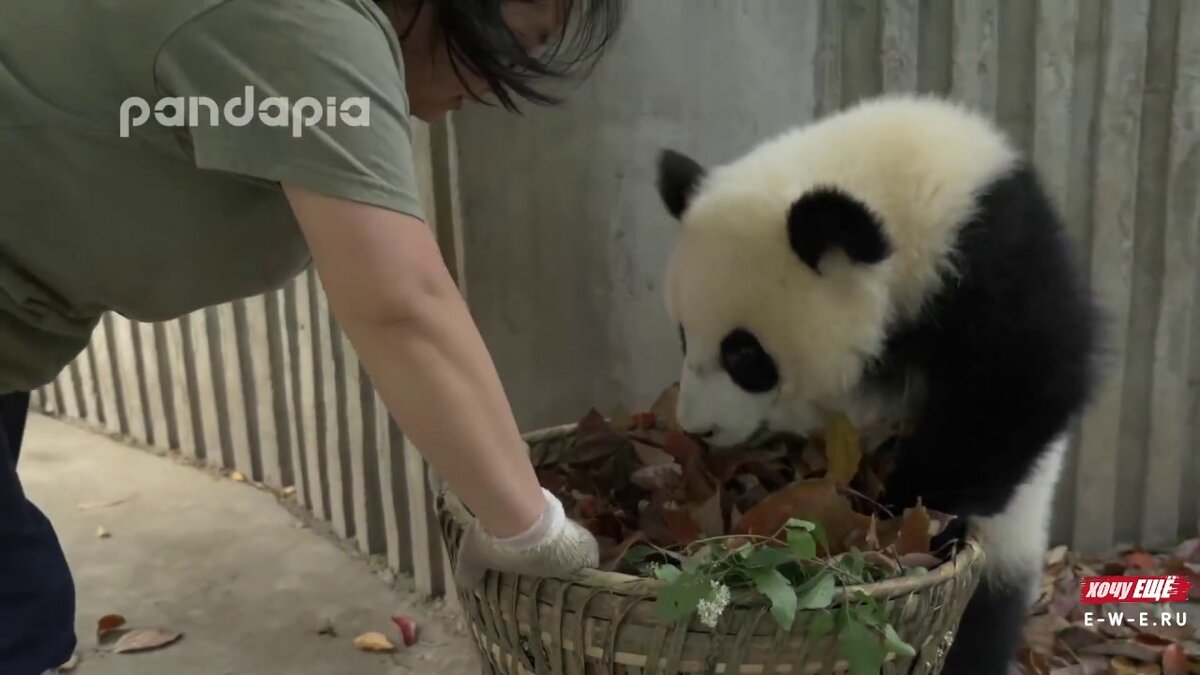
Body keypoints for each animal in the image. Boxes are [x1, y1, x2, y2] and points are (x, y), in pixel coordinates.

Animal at [653, 93, 1102, 674]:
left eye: (745, 354)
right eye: (685, 335)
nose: (697, 428)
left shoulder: (996, 262)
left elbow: (1025, 385)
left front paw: (910, 510)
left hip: (1014, 535)